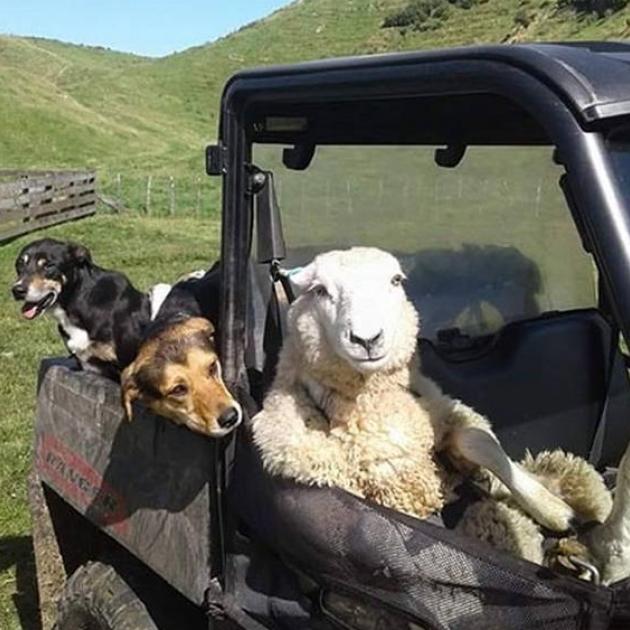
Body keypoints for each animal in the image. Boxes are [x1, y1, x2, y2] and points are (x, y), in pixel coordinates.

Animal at [254, 247, 630, 584]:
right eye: (320, 290)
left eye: (395, 280)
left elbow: (478, 440)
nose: (366, 339)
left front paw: (551, 508)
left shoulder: (442, 411)